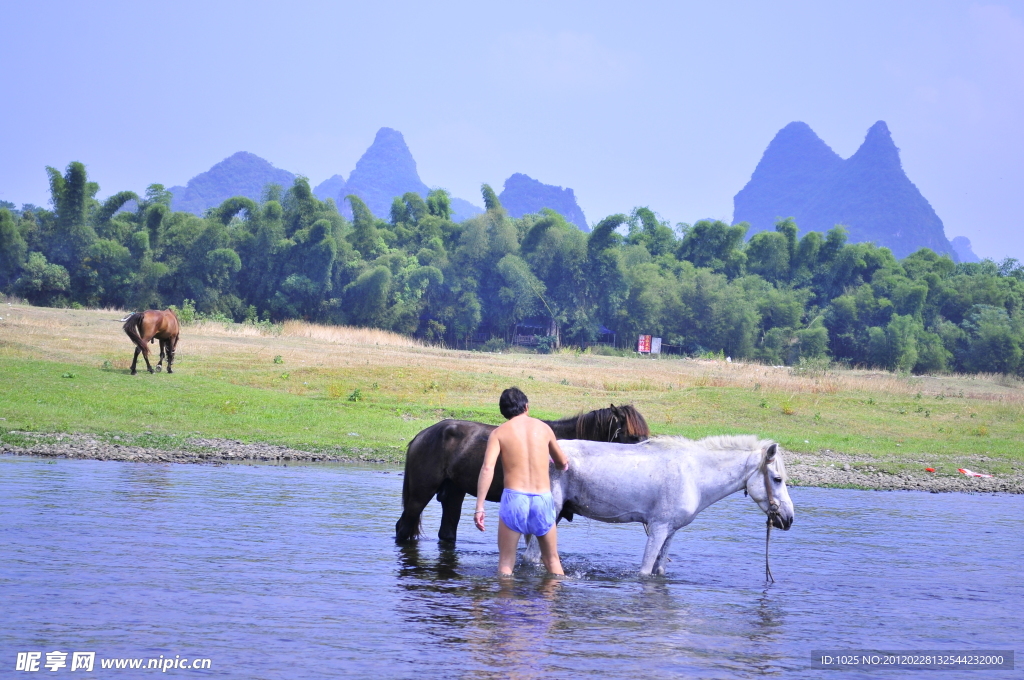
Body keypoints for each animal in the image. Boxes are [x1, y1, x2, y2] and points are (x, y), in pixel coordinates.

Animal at [524, 436, 794, 573]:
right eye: (777, 479)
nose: (789, 518)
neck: (695, 474)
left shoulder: (670, 532)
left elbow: (659, 569)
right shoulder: (658, 528)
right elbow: (645, 571)